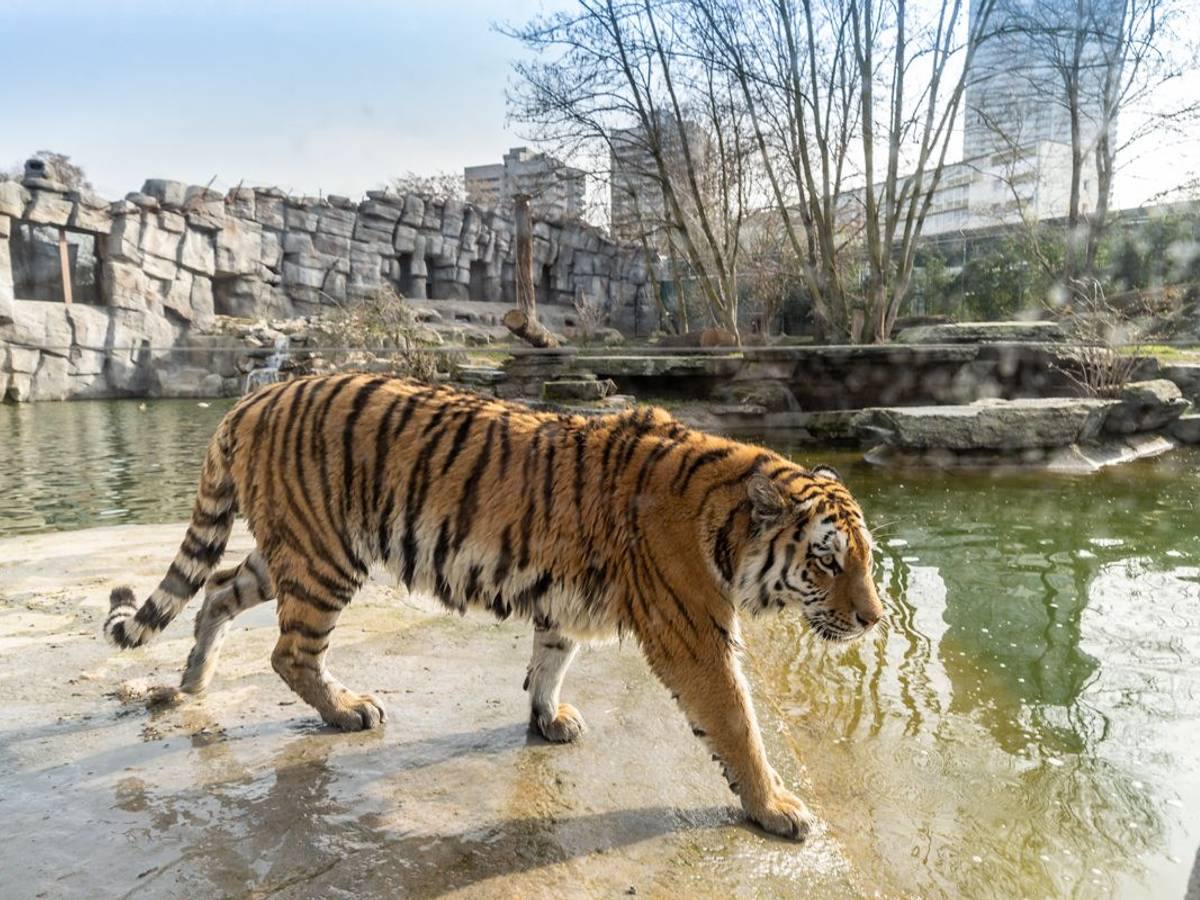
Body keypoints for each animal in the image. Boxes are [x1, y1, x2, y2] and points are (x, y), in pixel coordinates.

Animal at [102, 373, 883, 841]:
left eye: (867, 559)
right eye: (827, 560)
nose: (875, 619)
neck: (722, 524)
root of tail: (255, 395)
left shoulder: (565, 599)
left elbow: (551, 658)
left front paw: (547, 720)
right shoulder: (692, 633)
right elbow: (737, 725)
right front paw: (776, 808)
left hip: (291, 548)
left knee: (215, 590)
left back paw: (193, 682)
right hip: (325, 556)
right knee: (290, 651)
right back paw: (347, 710)